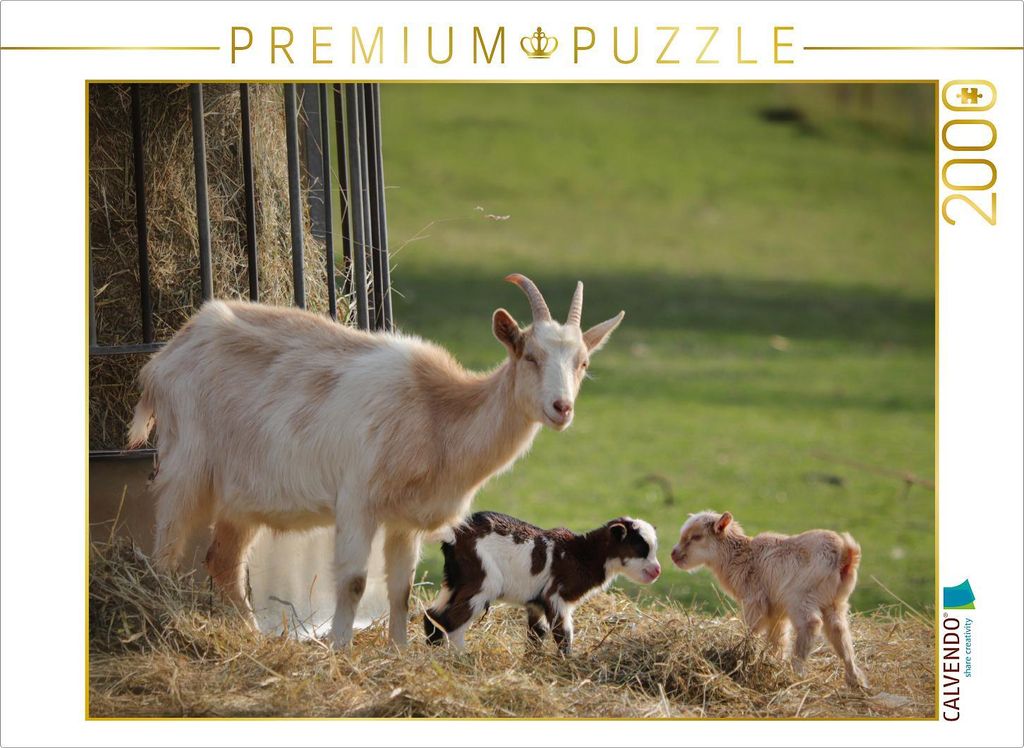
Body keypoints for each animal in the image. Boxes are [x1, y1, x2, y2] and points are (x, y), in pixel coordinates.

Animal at [128, 274, 624, 647]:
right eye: (530, 355)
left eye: (582, 362)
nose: (562, 408)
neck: (436, 412)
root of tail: (164, 359)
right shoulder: (357, 501)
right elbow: (353, 581)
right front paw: (339, 650)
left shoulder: (404, 519)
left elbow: (400, 588)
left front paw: (399, 652)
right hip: (185, 466)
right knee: (166, 551)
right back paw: (158, 623)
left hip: (241, 495)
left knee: (223, 561)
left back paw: (251, 636)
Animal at [424, 511, 661, 653]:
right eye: (641, 548)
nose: (657, 570)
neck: (582, 554)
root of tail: (453, 535)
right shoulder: (556, 596)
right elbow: (563, 635)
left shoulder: (535, 603)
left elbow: (537, 635)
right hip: (483, 580)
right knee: (453, 623)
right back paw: (461, 659)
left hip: (454, 580)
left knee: (433, 616)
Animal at [670, 511, 868, 687]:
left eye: (696, 537)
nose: (673, 554)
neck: (741, 557)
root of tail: (845, 556)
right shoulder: (776, 611)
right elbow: (777, 640)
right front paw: (771, 661)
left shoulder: (755, 600)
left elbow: (751, 629)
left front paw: (743, 653)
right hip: (835, 602)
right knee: (839, 631)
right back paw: (855, 680)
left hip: (800, 596)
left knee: (811, 623)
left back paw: (796, 671)